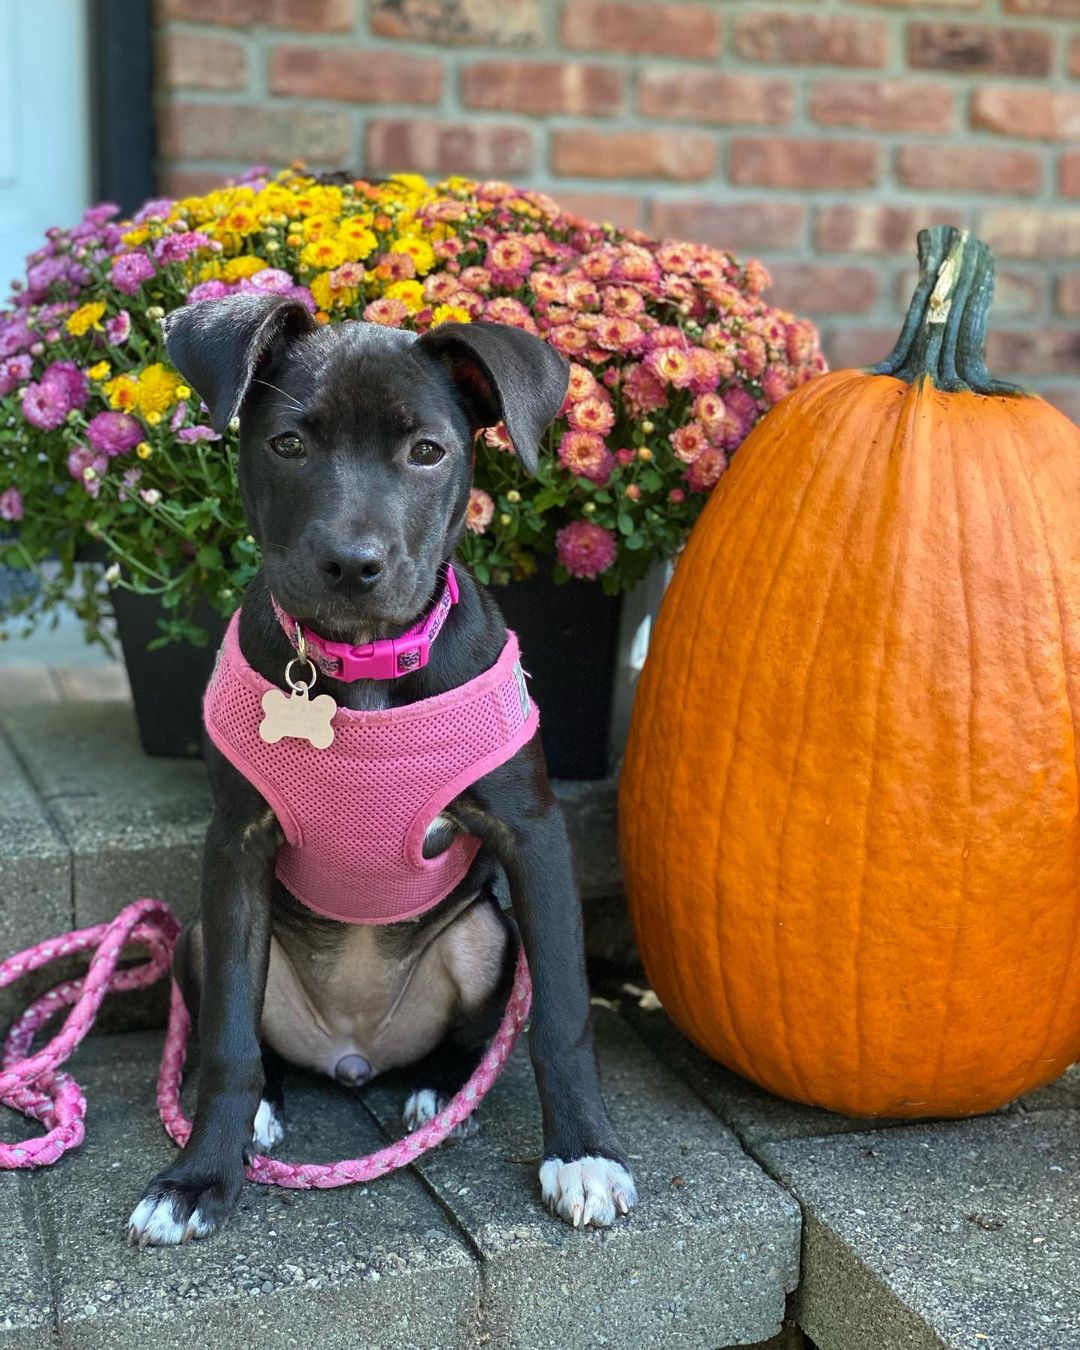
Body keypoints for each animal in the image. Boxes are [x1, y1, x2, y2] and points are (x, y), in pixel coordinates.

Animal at [127, 295, 637, 1242]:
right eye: (289, 443)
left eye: (427, 451)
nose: (352, 565)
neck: (359, 666)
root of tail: (354, 1051)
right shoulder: (236, 846)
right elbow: (226, 1039)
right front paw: (198, 1177)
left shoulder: (534, 833)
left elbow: (562, 1017)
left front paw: (585, 1155)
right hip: (201, 936)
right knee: (245, 1031)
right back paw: (267, 1108)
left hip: (486, 936)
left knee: (467, 1037)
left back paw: (438, 1092)